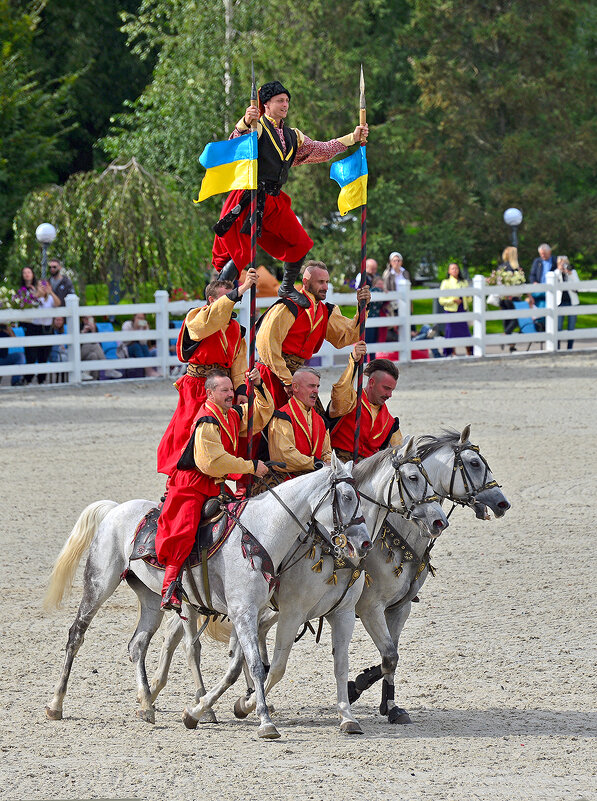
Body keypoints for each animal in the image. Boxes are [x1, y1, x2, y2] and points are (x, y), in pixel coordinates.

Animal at [45, 450, 368, 736]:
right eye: (347, 497)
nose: (364, 543)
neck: (263, 532)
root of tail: (114, 509)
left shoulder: (261, 613)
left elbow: (251, 664)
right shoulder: (247, 612)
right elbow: (256, 665)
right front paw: (263, 720)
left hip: (151, 597)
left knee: (138, 644)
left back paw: (147, 704)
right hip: (99, 584)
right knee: (76, 634)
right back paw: (56, 704)